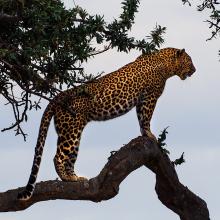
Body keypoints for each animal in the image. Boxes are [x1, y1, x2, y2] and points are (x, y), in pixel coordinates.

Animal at [17, 47, 196, 200]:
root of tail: (59, 96)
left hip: (71, 131)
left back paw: (75, 177)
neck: (166, 64)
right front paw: (150, 135)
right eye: (189, 61)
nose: (194, 70)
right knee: (58, 157)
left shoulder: (141, 101)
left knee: (70, 156)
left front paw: (145, 134)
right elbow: (146, 118)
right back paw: (67, 178)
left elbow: (140, 118)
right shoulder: (150, 97)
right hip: (71, 130)